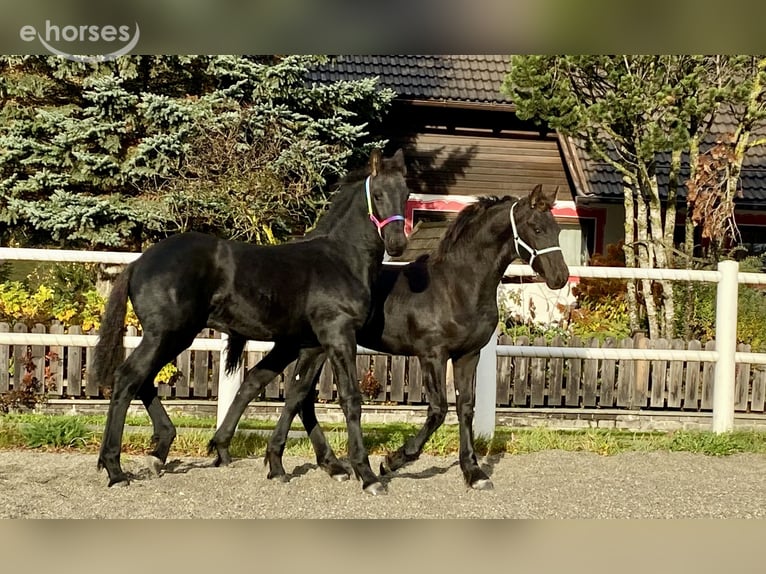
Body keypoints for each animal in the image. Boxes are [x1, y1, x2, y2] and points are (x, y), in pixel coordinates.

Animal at [92, 148, 410, 495]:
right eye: (377, 195)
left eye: (406, 195)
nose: (397, 244)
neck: (340, 259)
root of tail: (138, 263)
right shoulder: (338, 335)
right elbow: (348, 398)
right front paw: (367, 475)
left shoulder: (311, 344)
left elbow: (294, 393)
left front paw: (286, 463)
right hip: (166, 334)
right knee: (128, 377)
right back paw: (115, 468)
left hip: (174, 336)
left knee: (143, 378)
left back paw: (157, 451)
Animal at [258, 184, 569, 490]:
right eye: (536, 228)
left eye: (557, 229)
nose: (560, 277)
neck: (456, 286)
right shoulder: (432, 355)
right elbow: (438, 410)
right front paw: (392, 460)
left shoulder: (468, 355)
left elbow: (466, 408)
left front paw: (474, 472)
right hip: (317, 348)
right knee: (299, 396)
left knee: (303, 398)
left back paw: (332, 466)